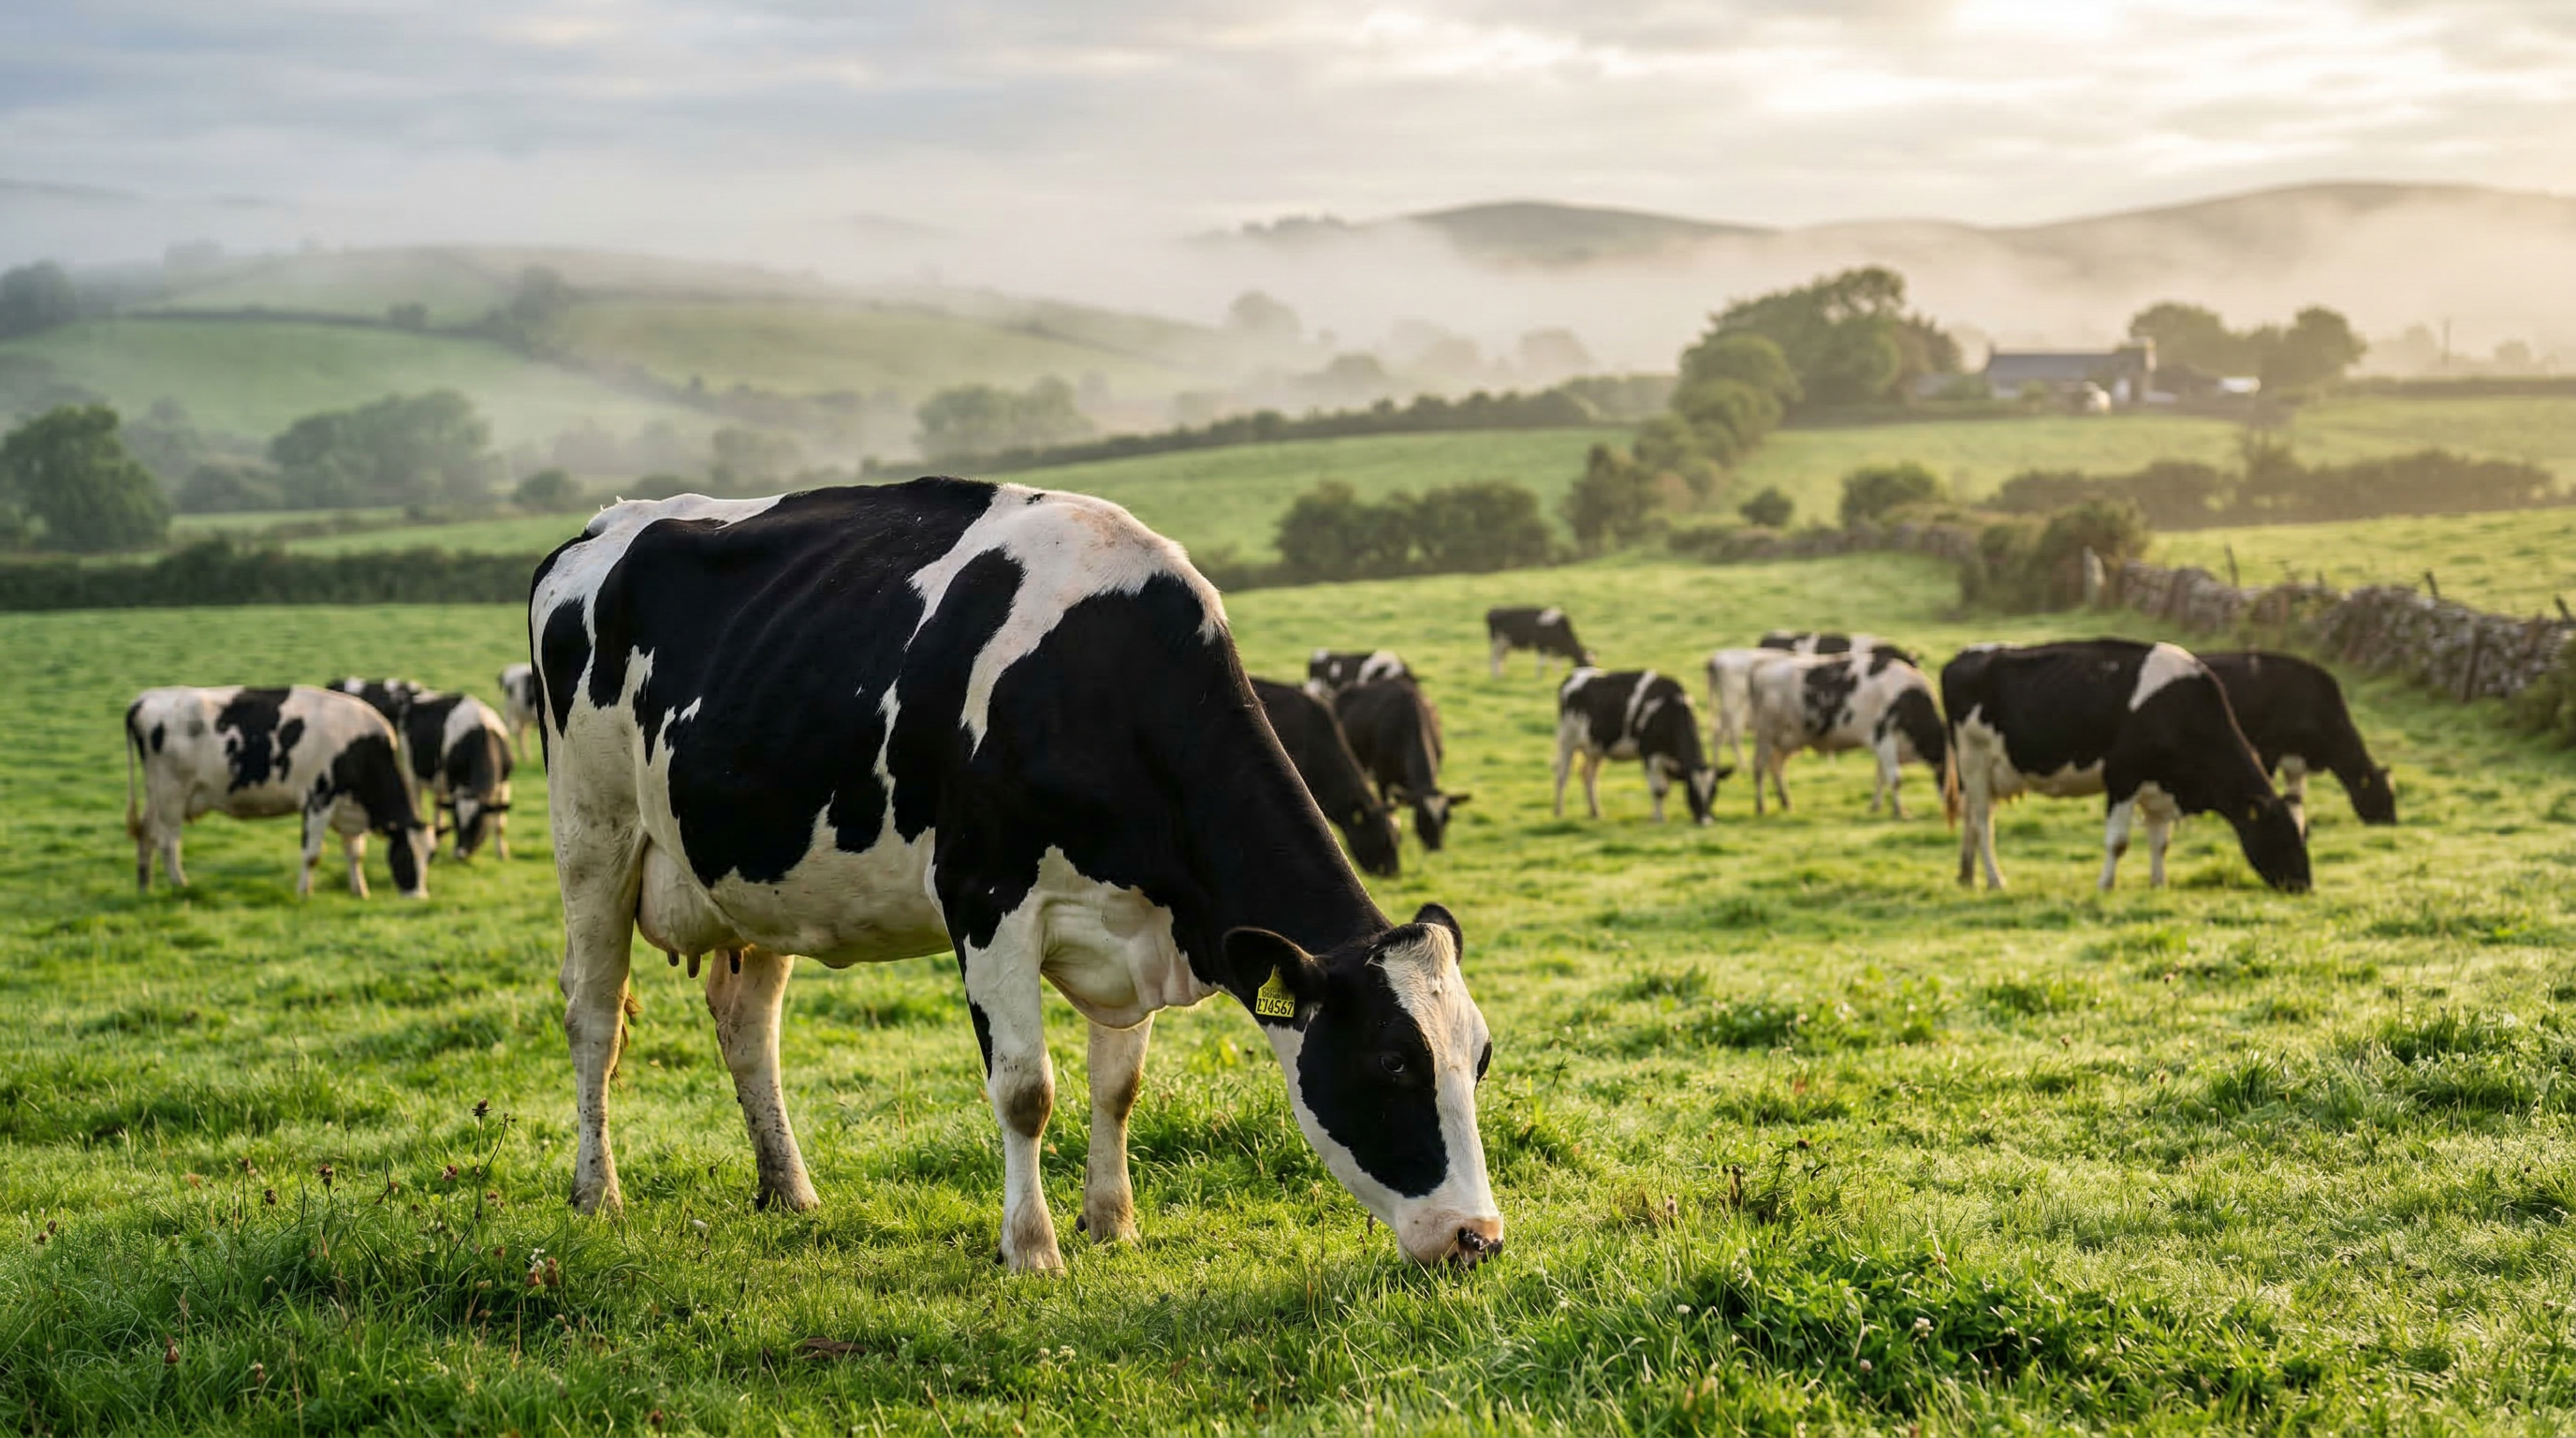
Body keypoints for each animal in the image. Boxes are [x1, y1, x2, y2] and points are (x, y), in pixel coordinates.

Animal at [124, 685, 430, 899]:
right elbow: (312, 853)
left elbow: (355, 853)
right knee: (168, 842)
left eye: (430, 857)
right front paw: (304, 893)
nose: (419, 897)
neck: (361, 748)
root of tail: (146, 698)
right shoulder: (319, 798)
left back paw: (144, 886)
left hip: (156, 794)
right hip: (172, 794)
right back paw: (180, 885)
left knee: (147, 835)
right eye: (405, 856)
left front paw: (360, 891)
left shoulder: (350, 807)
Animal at [396, 693, 515, 860]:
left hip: (438, 780)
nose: (460, 854)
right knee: (417, 806)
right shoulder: (453, 782)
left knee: (438, 807)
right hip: (411, 774)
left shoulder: (505, 783)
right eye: (456, 822)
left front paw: (502, 853)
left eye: (477, 823)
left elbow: (500, 822)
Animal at [1552, 668, 1727, 824]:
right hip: (1567, 740)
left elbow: (1666, 789)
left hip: (1595, 748)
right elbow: (1659, 790)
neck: (1669, 707)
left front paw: (1656, 815)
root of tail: (1575, 674)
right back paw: (1558, 812)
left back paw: (1595, 812)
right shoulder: (1649, 754)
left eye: (1714, 792)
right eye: (1692, 791)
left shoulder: (1671, 761)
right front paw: (1659, 819)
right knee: (1562, 775)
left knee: (1589, 776)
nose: (1705, 820)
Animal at [1747, 650, 1948, 819]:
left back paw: (1786, 802)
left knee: (1776, 766)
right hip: (1766, 734)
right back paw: (1760, 806)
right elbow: (1894, 778)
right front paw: (1900, 811)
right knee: (1759, 767)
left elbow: (1881, 777)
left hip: (1787, 739)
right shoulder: (1884, 737)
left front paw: (1875, 806)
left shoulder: (1884, 745)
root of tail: (1762, 666)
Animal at [1941, 640, 2310, 893]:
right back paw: (1995, 879)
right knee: (1983, 822)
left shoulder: (2160, 786)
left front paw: (2159, 883)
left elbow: (2161, 841)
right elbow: (2118, 842)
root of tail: (1963, 656)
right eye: (2282, 836)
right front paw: (2105, 884)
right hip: (1974, 761)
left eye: (2303, 836)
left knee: (1971, 820)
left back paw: (1966, 875)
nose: (2305, 885)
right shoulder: (2122, 776)